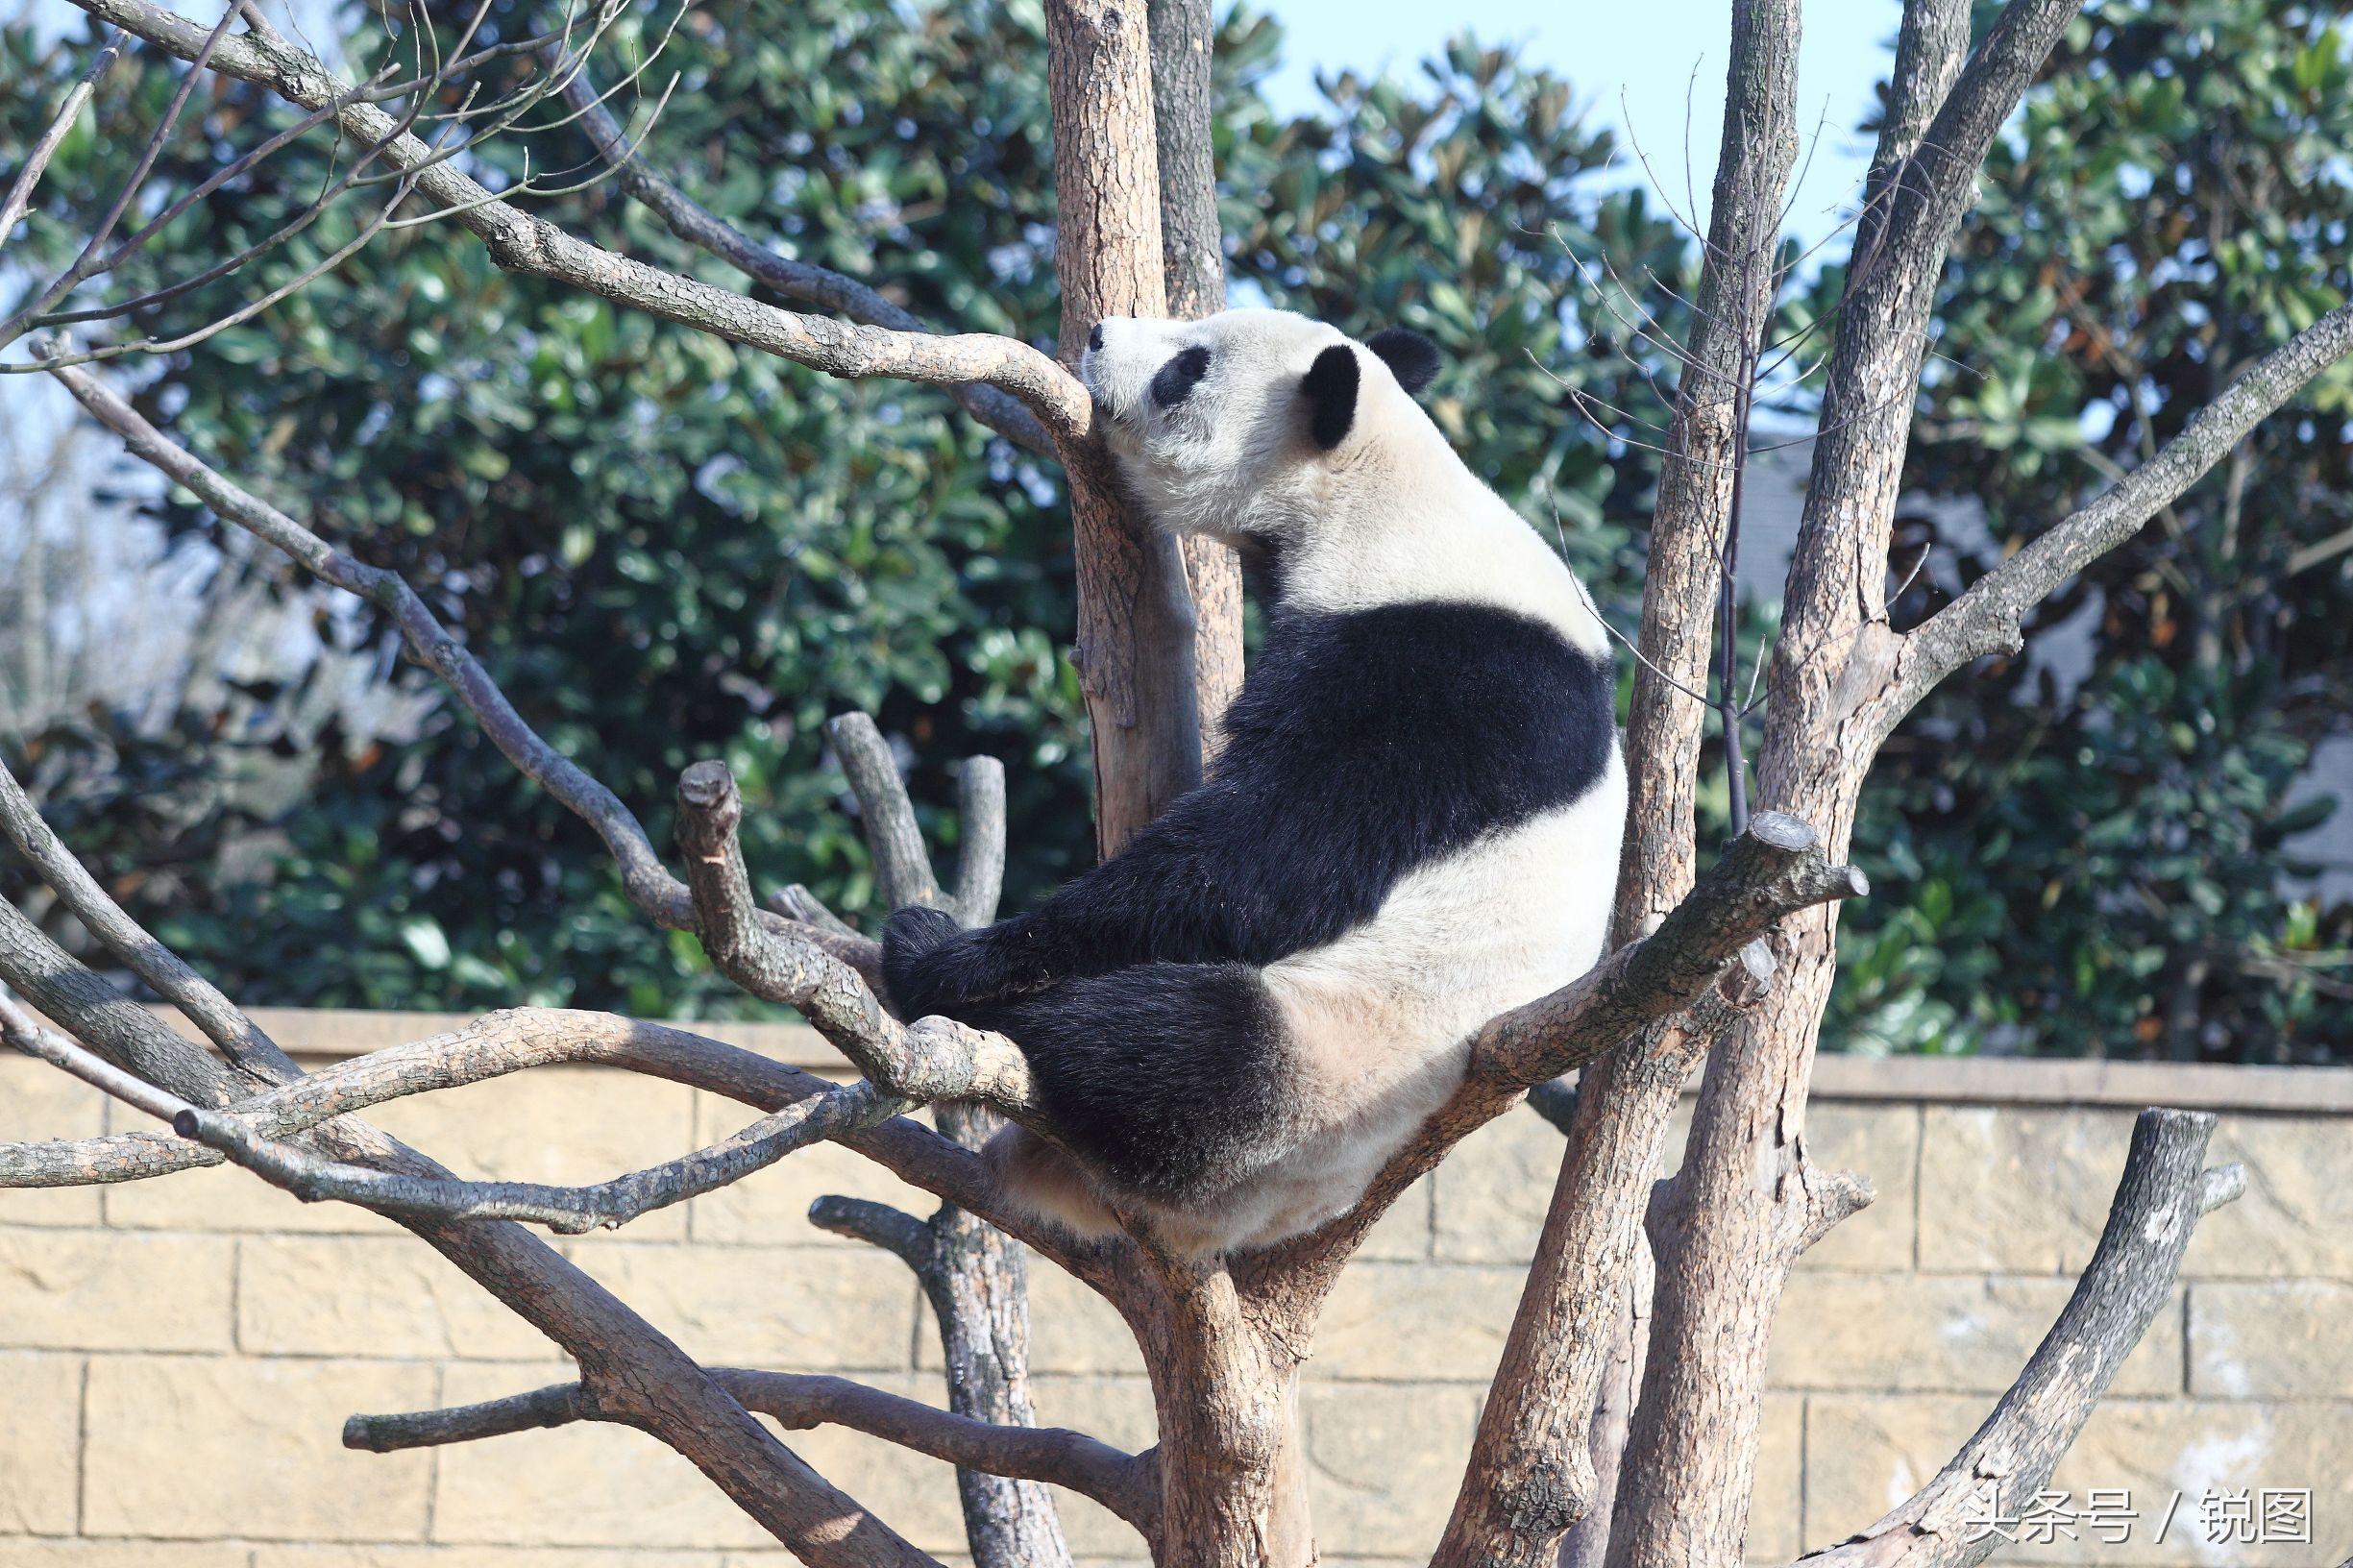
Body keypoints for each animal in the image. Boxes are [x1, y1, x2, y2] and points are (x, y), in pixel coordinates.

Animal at [884, 308, 1618, 1262]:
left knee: (1172, 1050)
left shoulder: (1435, 678)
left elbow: (1265, 868)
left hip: (1328, 1070)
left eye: (1187, 369)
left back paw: (982, 992)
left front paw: (956, 954)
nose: (1097, 334)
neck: (1380, 492)